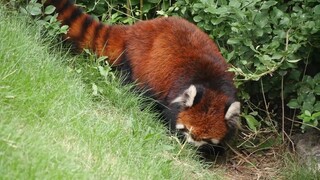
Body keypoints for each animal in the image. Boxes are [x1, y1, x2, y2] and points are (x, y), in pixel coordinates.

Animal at [44, 0, 240, 146]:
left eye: (205, 138)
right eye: (185, 129)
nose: (189, 145)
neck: (211, 85)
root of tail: (136, 29)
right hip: (139, 65)